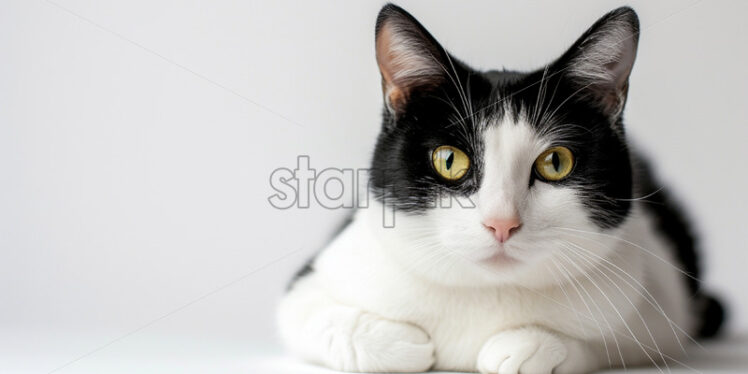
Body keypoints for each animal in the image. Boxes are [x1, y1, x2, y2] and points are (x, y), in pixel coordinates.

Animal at [276, 3, 724, 374]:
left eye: (556, 163)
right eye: (449, 160)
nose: (501, 223)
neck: (484, 291)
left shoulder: (661, 304)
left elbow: (612, 341)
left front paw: (530, 347)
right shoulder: (310, 282)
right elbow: (309, 316)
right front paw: (400, 343)